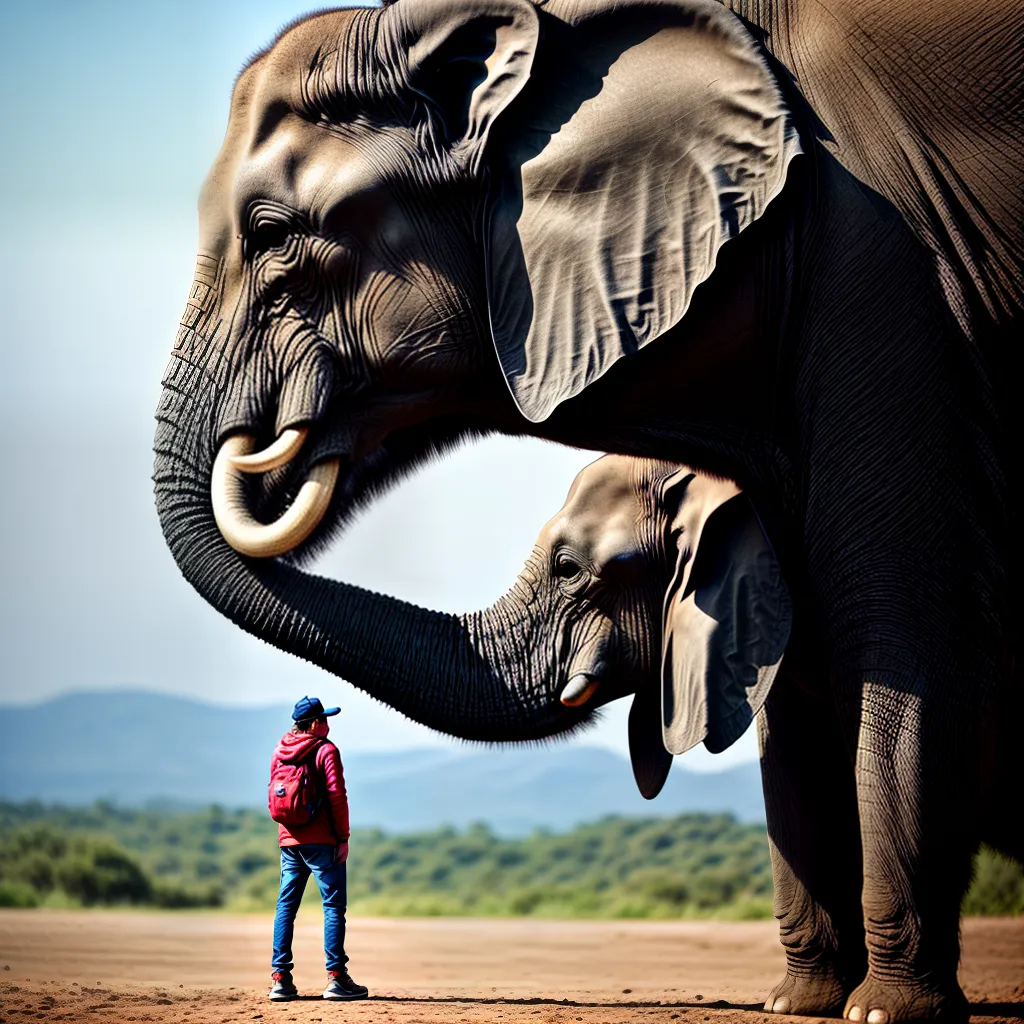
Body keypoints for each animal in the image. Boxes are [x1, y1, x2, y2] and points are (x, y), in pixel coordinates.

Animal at [152, 0, 1023, 1021]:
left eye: (272, 230)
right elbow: (793, 724)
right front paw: (799, 1006)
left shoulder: (886, 283)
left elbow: (906, 644)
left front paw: (882, 1013)